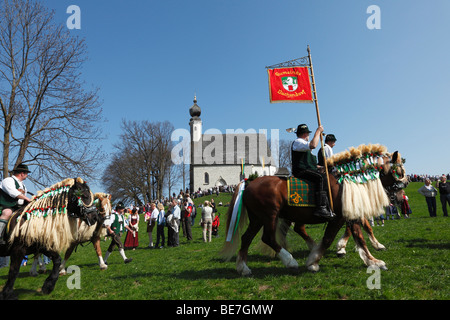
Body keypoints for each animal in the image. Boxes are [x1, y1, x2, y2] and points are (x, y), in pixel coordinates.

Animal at [221, 148, 408, 276]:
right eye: (399, 171)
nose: (401, 192)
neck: (346, 181)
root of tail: (249, 182)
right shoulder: (339, 217)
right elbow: (330, 239)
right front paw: (314, 261)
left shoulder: (349, 216)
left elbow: (359, 235)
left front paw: (372, 259)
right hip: (269, 216)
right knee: (268, 237)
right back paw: (290, 260)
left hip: (258, 218)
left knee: (247, 238)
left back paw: (243, 267)